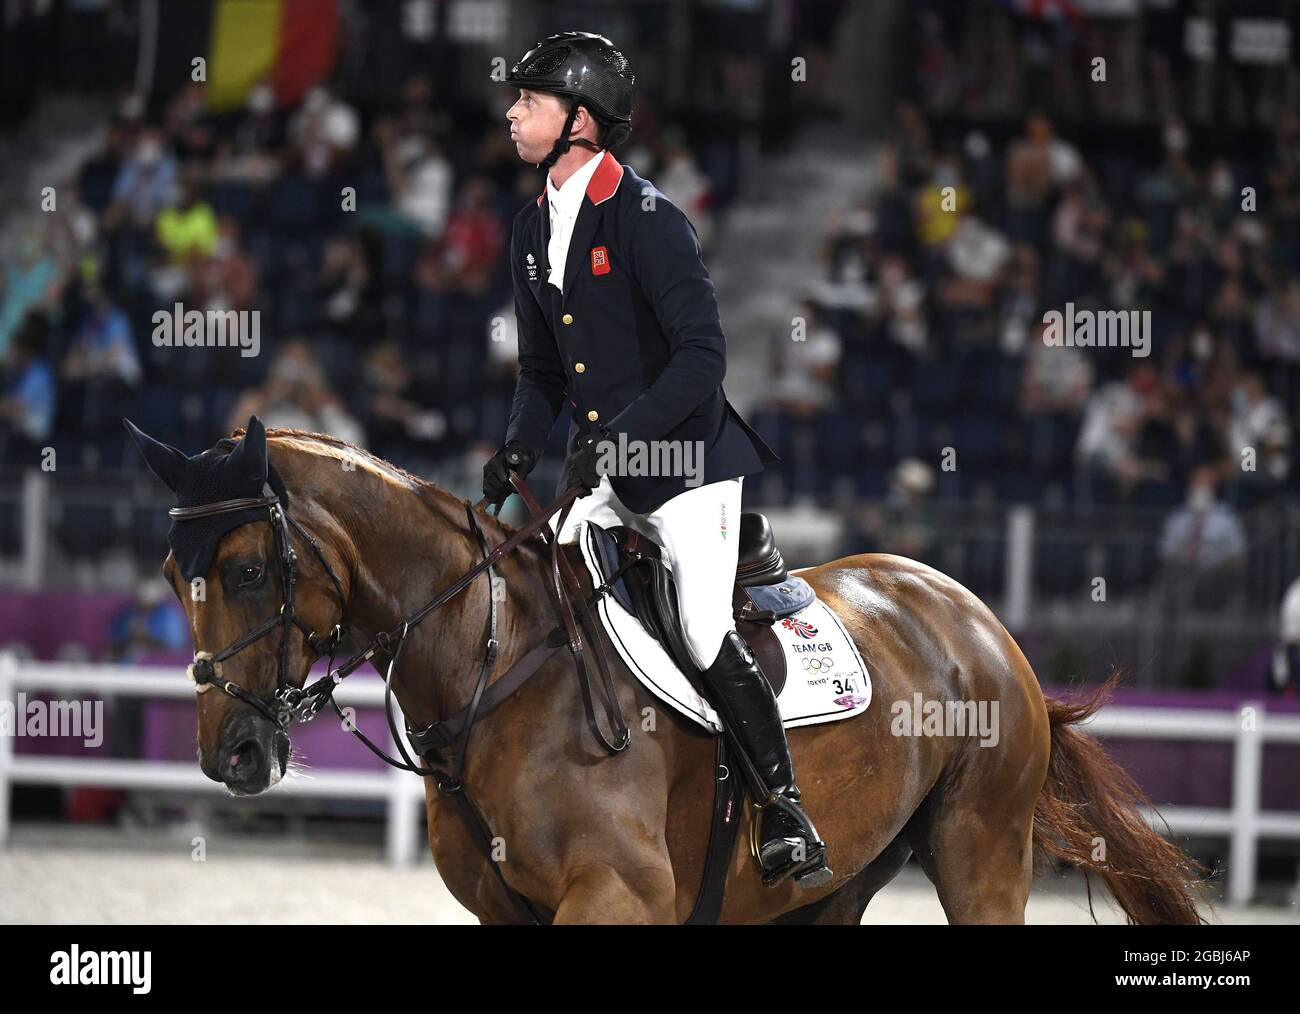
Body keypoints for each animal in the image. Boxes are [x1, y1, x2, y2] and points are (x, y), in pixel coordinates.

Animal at [137, 423, 1201, 920]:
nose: (231, 753)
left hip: (981, 852)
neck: (496, 667)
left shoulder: (619, 894)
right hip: (836, 889)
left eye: (246, 570)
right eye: (174, 576)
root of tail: (982, 624)